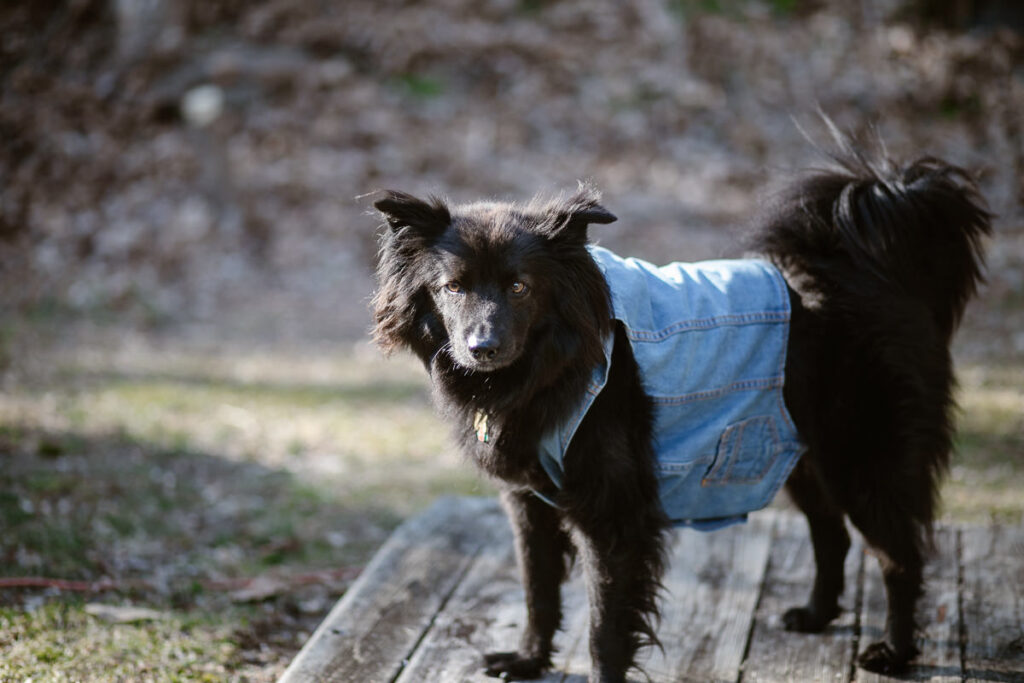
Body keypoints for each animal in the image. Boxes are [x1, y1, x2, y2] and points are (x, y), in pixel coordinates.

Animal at [372, 141, 987, 679]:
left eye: (521, 287)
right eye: (453, 288)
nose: (482, 348)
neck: (551, 367)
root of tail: (873, 273)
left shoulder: (613, 516)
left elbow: (604, 626)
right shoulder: (530, 505)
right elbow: (538, 591)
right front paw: (528, 661)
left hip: (862, 460)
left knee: (900, 557)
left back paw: (894, 653)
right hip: (790, 448)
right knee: (831, 533)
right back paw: (815, 617)